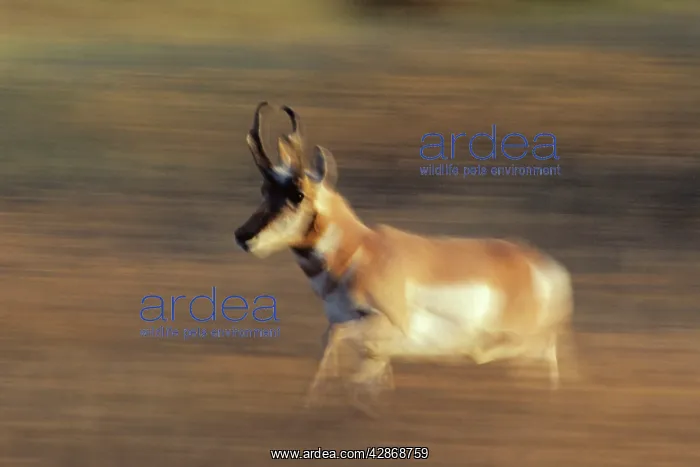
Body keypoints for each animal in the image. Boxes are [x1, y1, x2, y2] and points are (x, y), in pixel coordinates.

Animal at [234, 102, 576, 415]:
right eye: (265, 189)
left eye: (298, 194)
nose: (243, 236)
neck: (359, 250)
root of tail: (543, 267)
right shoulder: (374, 352)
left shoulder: (384, 328)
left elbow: (332, 337)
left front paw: (310, 403)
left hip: (524, 346)